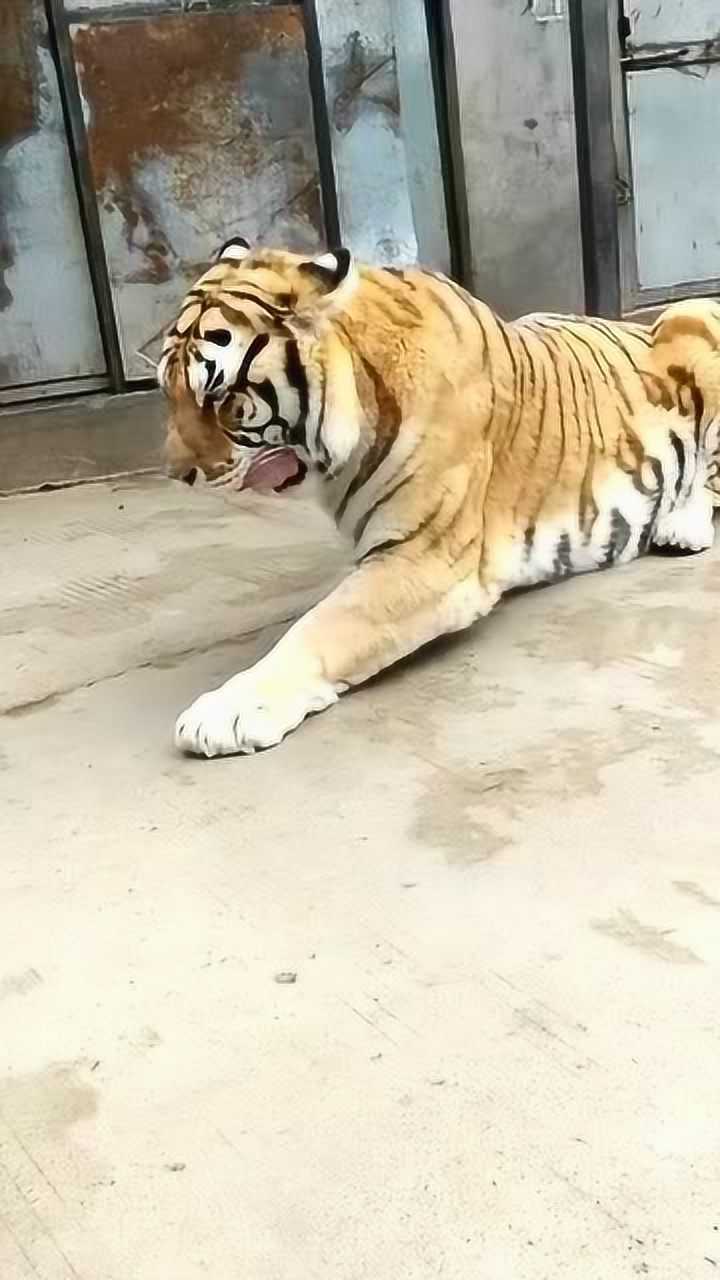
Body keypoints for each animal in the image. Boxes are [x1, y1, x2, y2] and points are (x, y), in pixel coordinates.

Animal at [158, 236, 720, 757]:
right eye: (167, 389)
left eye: (219, 397)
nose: (177, 473)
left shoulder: (423, 557)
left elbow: (323, 626)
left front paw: (225, 712)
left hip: (690, 316)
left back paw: (680, 526)